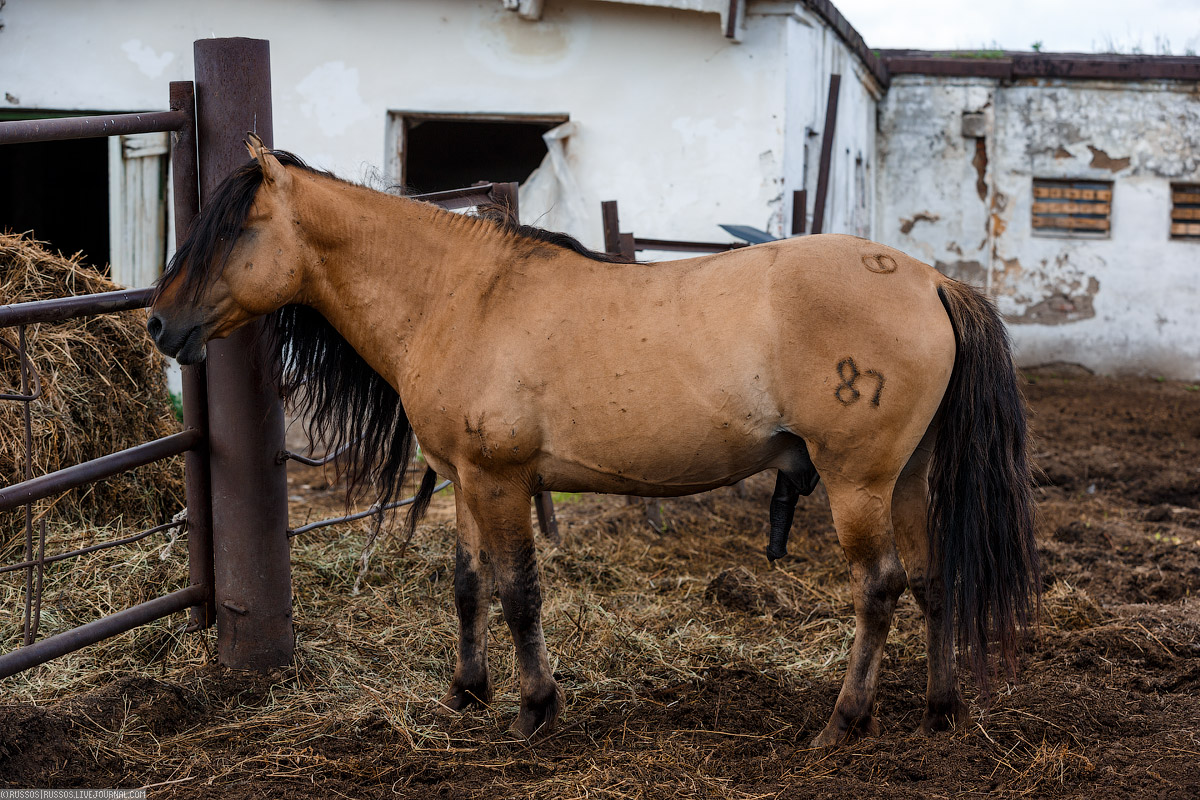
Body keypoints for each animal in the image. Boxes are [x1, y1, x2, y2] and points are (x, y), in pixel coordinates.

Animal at [147, 137, 1041, 743]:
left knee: (880, 588)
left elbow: (518, 593)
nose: (159, 324)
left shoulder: (503, 479)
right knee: (932, 581)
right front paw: (466, 693)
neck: (462, 296)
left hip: (858, 482)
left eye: (232, 231)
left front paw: (536, 707)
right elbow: (468, 587)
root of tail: (931, 280)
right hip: (906, 477)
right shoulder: (467, 479)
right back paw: (939, 709)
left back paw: (845, 722)